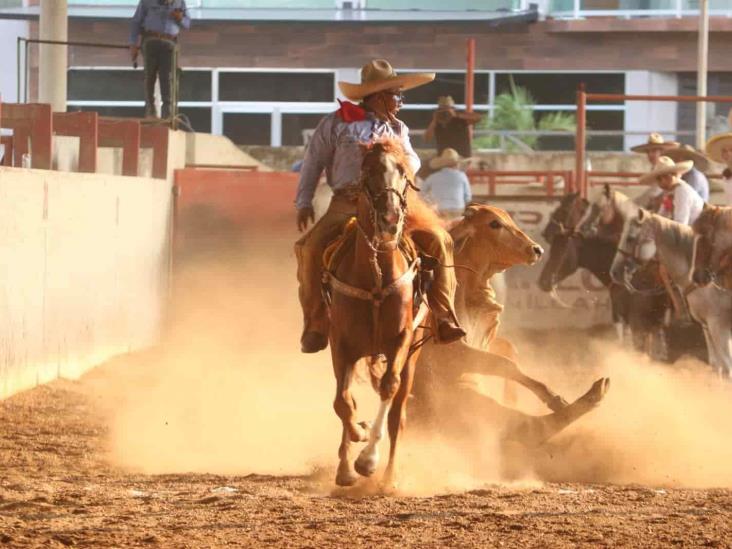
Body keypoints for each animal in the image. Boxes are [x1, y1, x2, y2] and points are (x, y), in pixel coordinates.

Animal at [324, 139, 431, 488]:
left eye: (403, 173)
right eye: (367, 171)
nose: (390, 218)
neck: (375, 278)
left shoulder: (401, 340)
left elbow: (388, 387)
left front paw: (367, 459)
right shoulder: (340, 344)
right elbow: (343, 402)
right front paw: (352, 450)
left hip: (412, 357)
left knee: (399, 412)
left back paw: (388, 477)